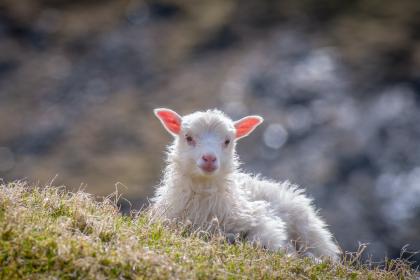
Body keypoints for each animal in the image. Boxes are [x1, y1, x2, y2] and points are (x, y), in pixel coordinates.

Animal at [151, 107, 342, 260]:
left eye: (227, 141)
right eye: (188, 137)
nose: (209, 158)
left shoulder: (262, 220)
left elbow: (262, 240)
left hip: (309, 229)